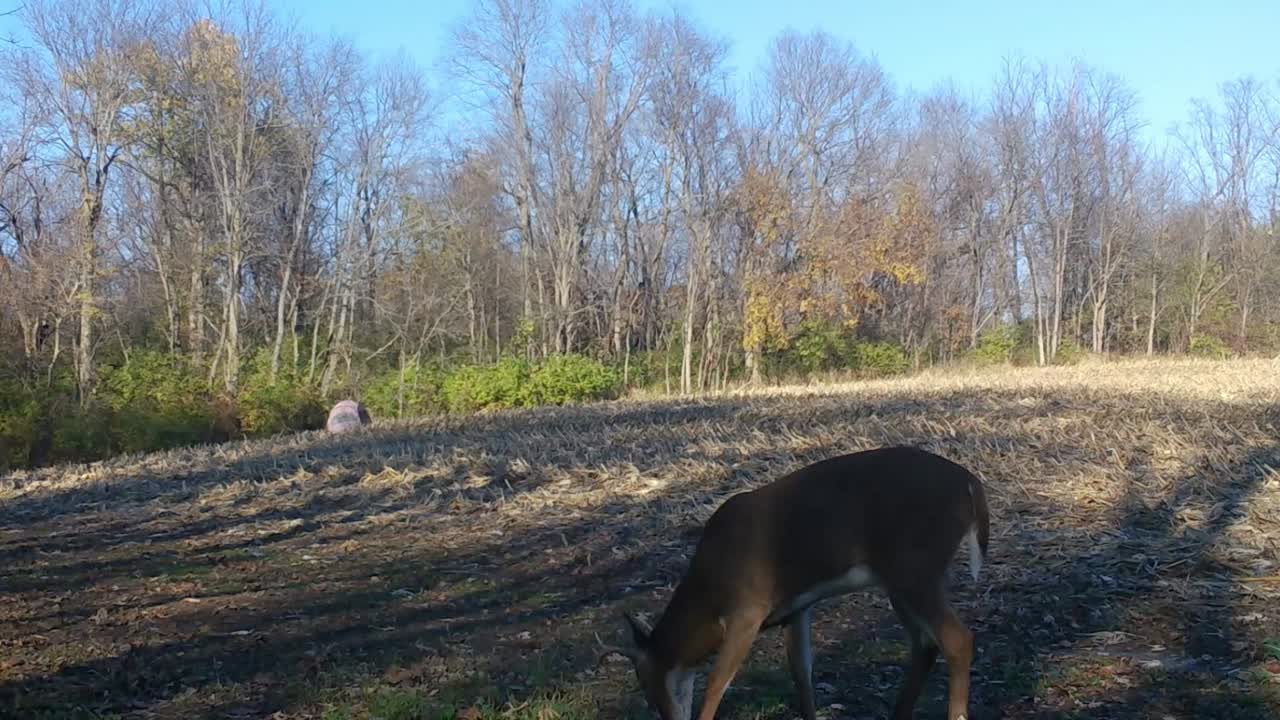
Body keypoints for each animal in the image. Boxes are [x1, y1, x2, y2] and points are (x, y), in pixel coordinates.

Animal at [598, 445, 991, 720]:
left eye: (643, 681)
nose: (663, 713)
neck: (709, 592)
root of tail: (971, 484)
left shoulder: (748, 607)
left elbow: (716, 683)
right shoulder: (796, 607)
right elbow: (801, 675)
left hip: (914, 567)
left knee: (957, 640)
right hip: (902, 578)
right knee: (926, 643)